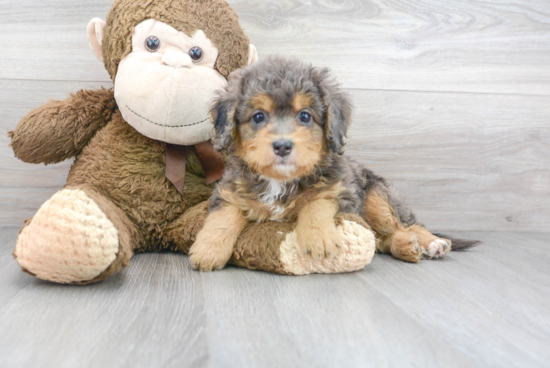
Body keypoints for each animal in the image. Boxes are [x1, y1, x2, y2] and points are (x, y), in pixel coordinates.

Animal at [189, 56, 478, 272]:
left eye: (305, 116)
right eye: (258, 116)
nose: (282, 146)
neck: (281, 181)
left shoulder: (341, 190)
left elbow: (317, 202)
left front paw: (319, 238)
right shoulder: (228, 192)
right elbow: (223, 217)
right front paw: (208, 250)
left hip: (377, 197)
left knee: (406, 224)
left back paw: (432, 242)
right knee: (383, 238)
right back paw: (408, 246)